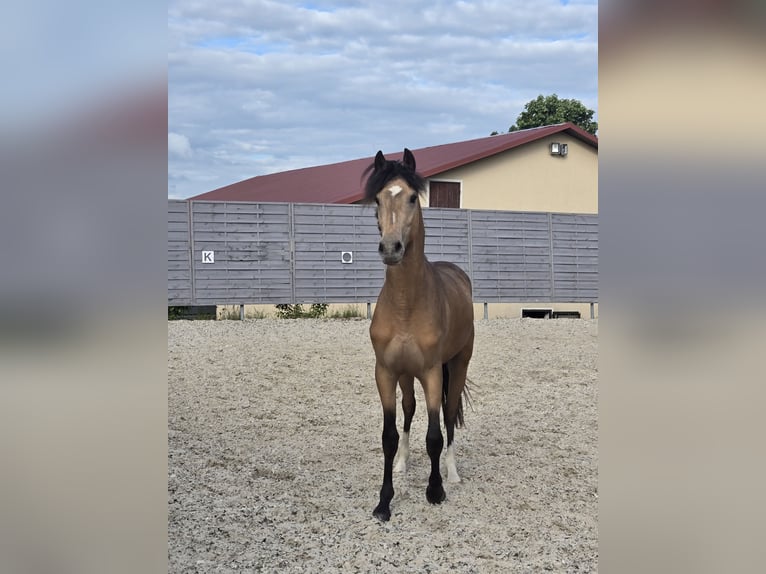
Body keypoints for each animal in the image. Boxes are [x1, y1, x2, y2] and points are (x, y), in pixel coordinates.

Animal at [363, 148, 475, 522]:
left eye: (413, 197)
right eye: (377, 199)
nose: (391, 248)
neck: (406, 305)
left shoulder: (431, 373)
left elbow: (435, 436)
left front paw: (435, 490)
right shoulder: (385, 372)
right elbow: (389, 434)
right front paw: (384, 501)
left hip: (458, 365)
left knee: (450, 415)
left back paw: (452, 473)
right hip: (406, 375)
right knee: (410, 410)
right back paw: (402, 463)